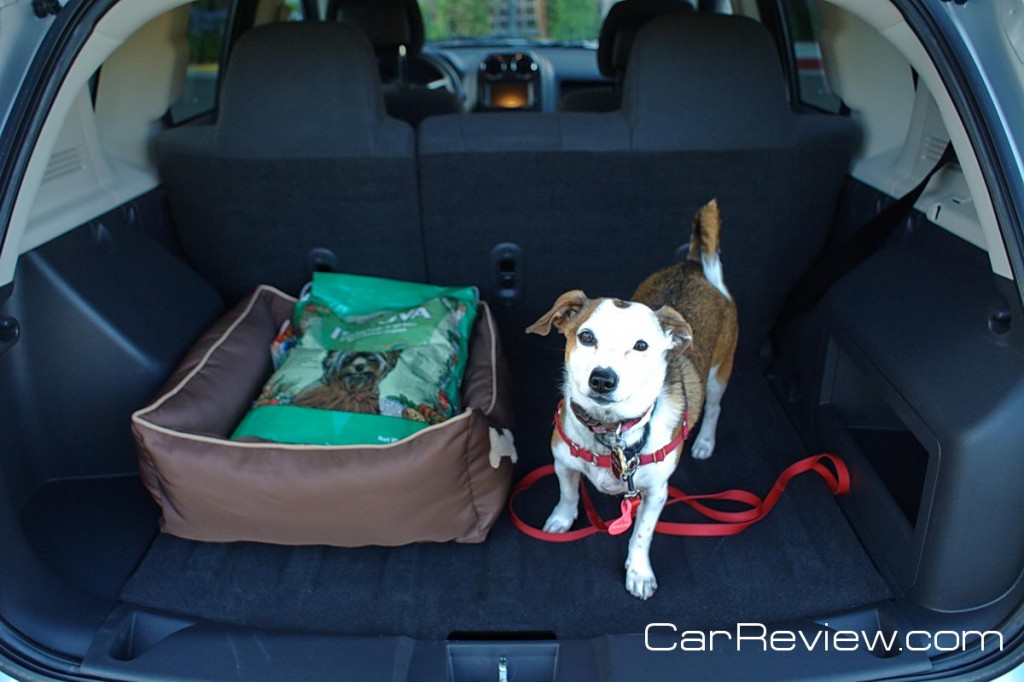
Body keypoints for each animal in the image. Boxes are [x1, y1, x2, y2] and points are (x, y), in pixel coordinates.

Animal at [528, 199, 737, 598]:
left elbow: (640, 534)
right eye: (586, 336)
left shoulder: (656, 494)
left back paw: (704, 442)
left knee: (716, 407)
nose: (602, 379)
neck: (611, 434)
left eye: (641, 346)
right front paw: (562, 519)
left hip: (721, 371)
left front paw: (638, 571)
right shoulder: (563, 462)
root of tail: (693, 266)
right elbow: (568, 494)